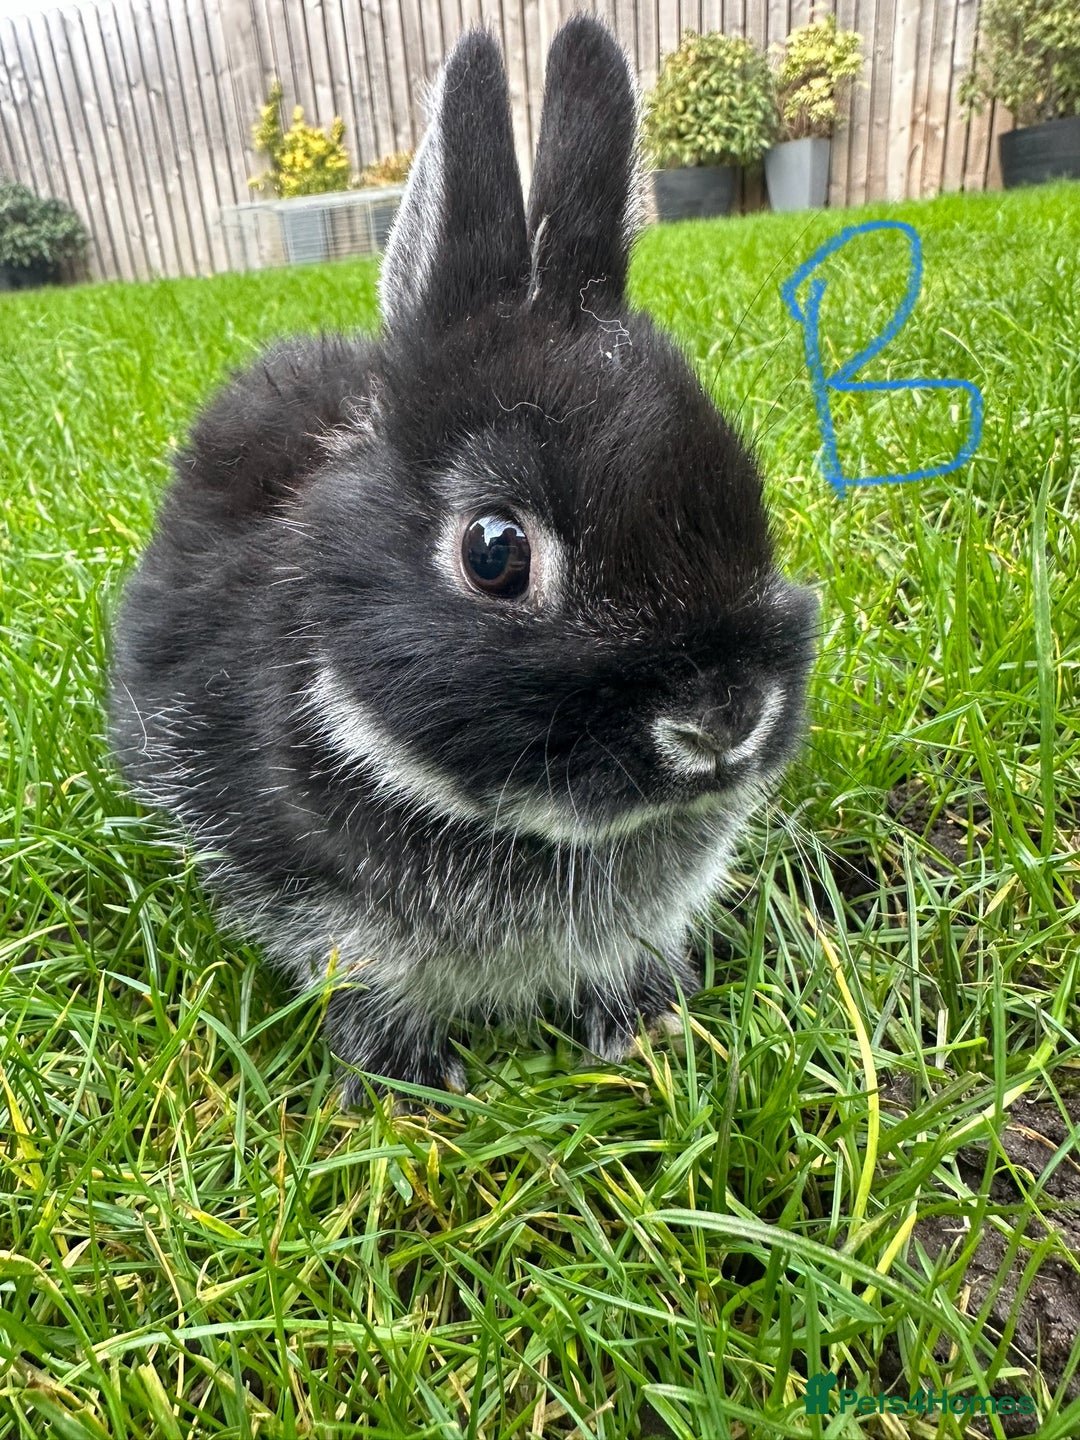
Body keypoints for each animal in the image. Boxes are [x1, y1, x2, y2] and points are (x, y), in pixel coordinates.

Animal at [109, 15, 818, 1104]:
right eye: (496, 553)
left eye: (748, 491)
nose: (724, 719)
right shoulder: (316, 906)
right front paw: (408, 1089)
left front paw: (647, 1028)